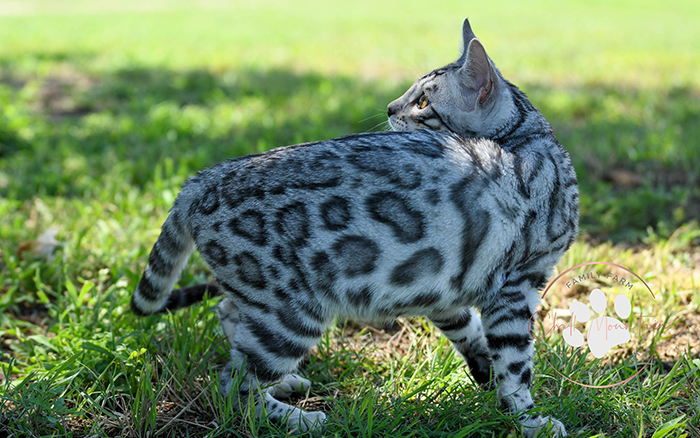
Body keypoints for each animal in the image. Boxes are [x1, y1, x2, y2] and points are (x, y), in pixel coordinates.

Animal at [133, 18, 580, 436]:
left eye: (422, 101)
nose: (389, 108)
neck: (529, 140)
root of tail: (202, 180)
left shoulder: (447, 281)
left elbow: (471, 332)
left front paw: (486, 374)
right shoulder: (515, 286)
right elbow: (516, 365)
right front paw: (528, 419)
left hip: (263, 301)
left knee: (229, 316)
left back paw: (286, 384)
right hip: (292, 314)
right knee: (233, 388)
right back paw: (300, 418)